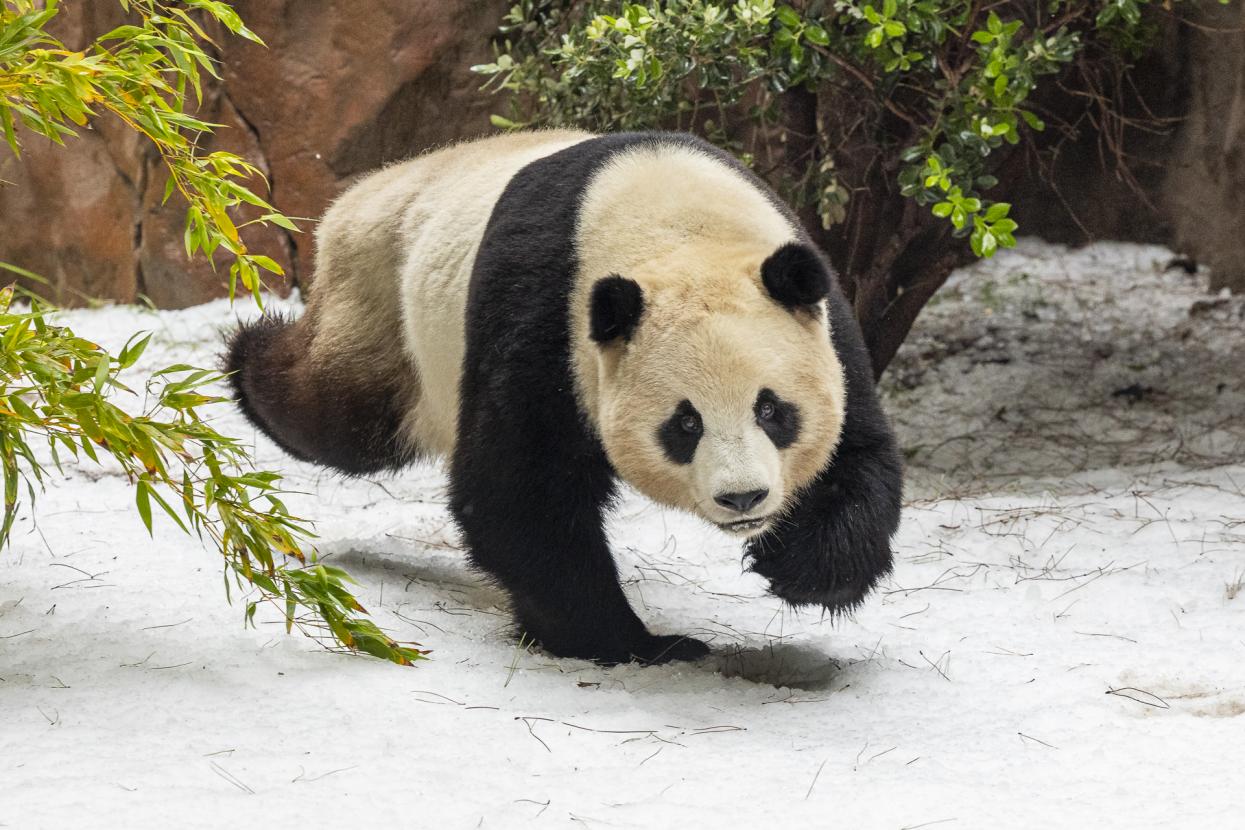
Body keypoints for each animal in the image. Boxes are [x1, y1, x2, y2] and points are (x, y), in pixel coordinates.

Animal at [227, 130, 903, 665]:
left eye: (772, 410)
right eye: (685, 424)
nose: (744, 498)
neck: (674, 224)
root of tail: (357, 195)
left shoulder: (821, 319)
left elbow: (857, 452)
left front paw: (801, 568)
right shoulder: (546, 316)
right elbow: (519, 491)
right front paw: (634, 643)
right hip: (385, 297)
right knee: (342, 414)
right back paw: (247, 354)